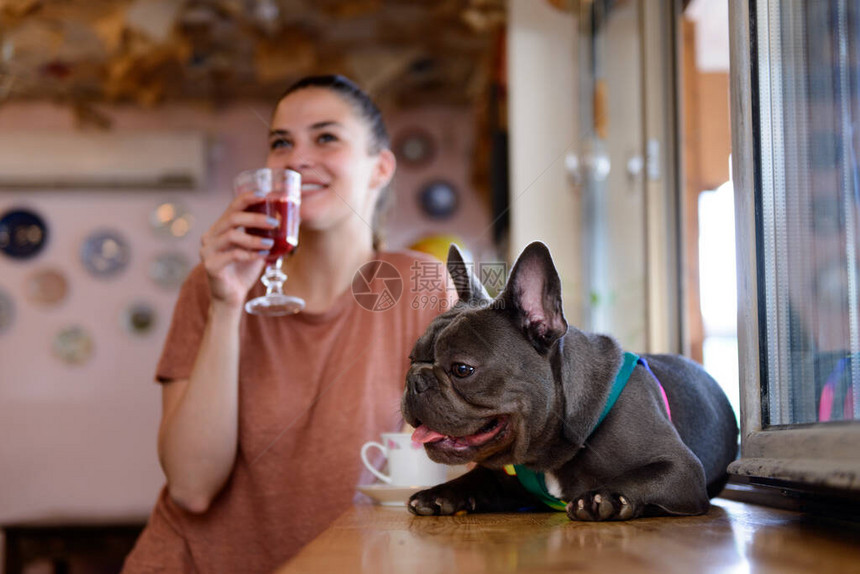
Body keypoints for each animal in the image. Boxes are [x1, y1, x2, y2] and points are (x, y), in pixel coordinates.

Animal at [404, 243, 740, 520]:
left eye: (462, 369)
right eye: (411, 360)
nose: (415, 381)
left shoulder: (682, 469)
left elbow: (642, 477)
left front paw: (604, 497)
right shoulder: (506, 481)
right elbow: (480, 476)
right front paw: (440, 493)